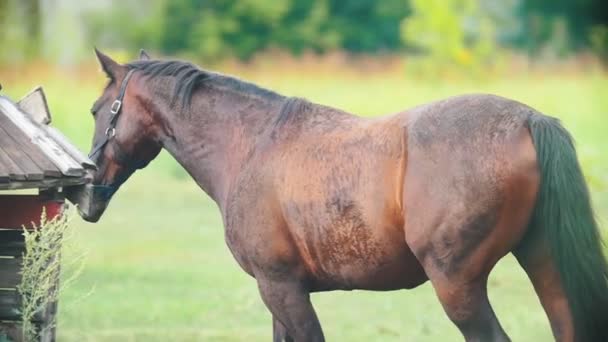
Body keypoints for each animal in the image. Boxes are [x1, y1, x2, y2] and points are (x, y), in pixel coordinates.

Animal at [77, 48, 608, 342]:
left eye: (99, 110)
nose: (87, 196)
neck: (250, 144)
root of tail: (528, 119)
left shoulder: (281, 287)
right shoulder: (280, 292)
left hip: (457, 284)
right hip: (541, 261)